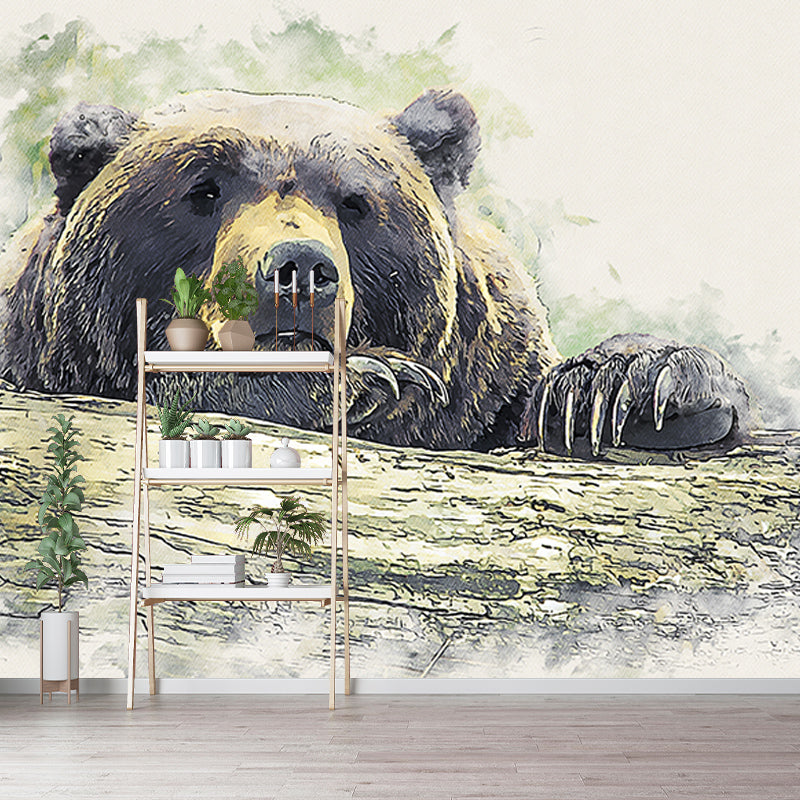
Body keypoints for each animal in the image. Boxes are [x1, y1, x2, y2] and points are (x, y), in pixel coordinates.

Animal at [0, 89, 752, 455]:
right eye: (203, 190)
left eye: (355, 201)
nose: (299, 268)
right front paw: (373, 379)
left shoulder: (489, 376)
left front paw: (628, 388)